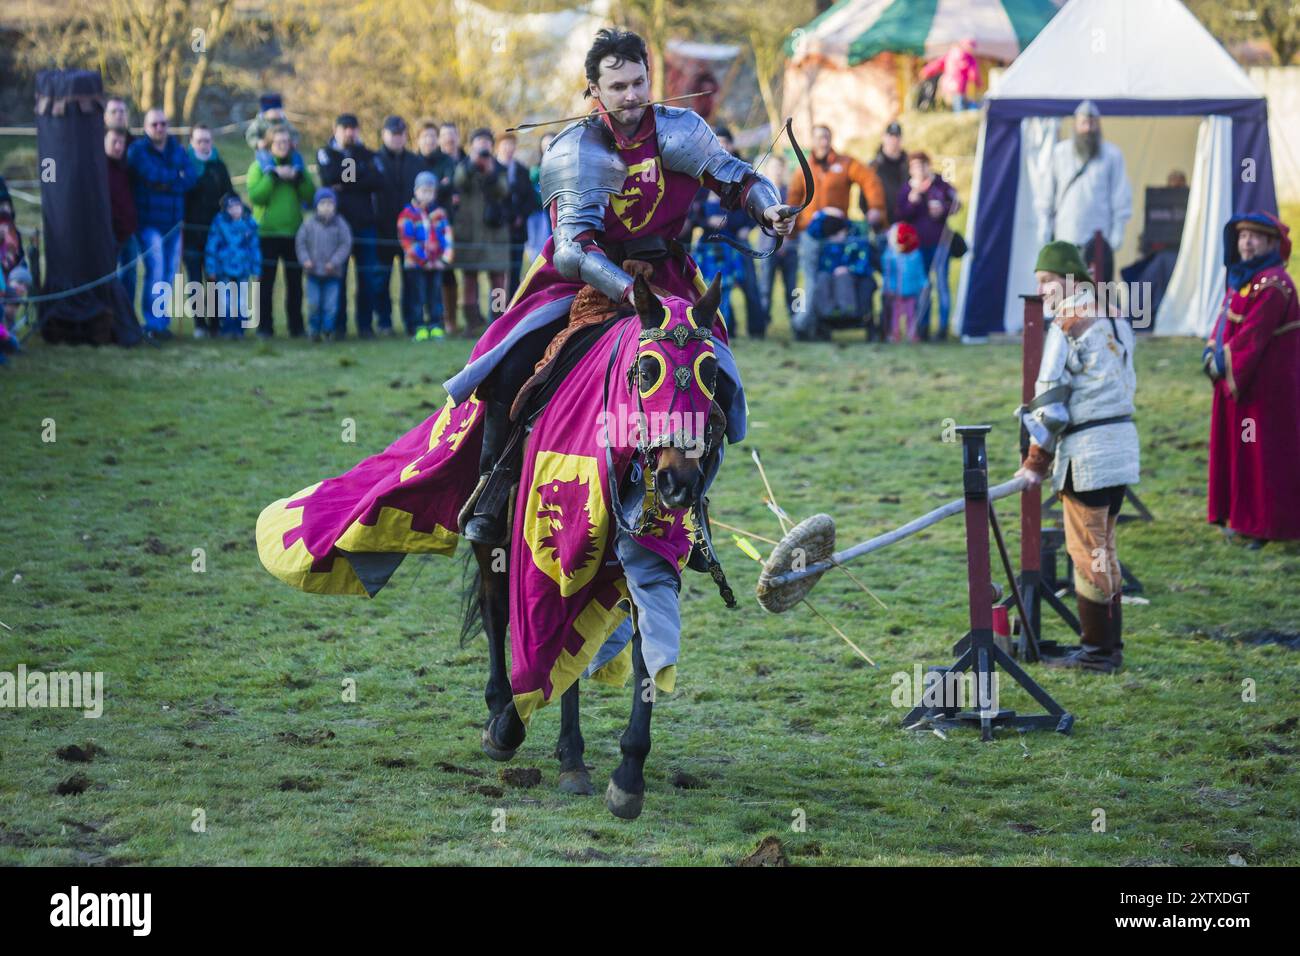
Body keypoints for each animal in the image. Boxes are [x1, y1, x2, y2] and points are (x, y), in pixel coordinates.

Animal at [462, 273, 728, 816]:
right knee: (496, 605)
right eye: (647, 370)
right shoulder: (554, 551)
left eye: (711, 372)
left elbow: (646, 648)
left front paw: (628, 773)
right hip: (494, 527)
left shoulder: (648, 559)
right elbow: (543, 629)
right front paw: (518, 728)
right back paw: (504, 710)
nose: (679, 484)